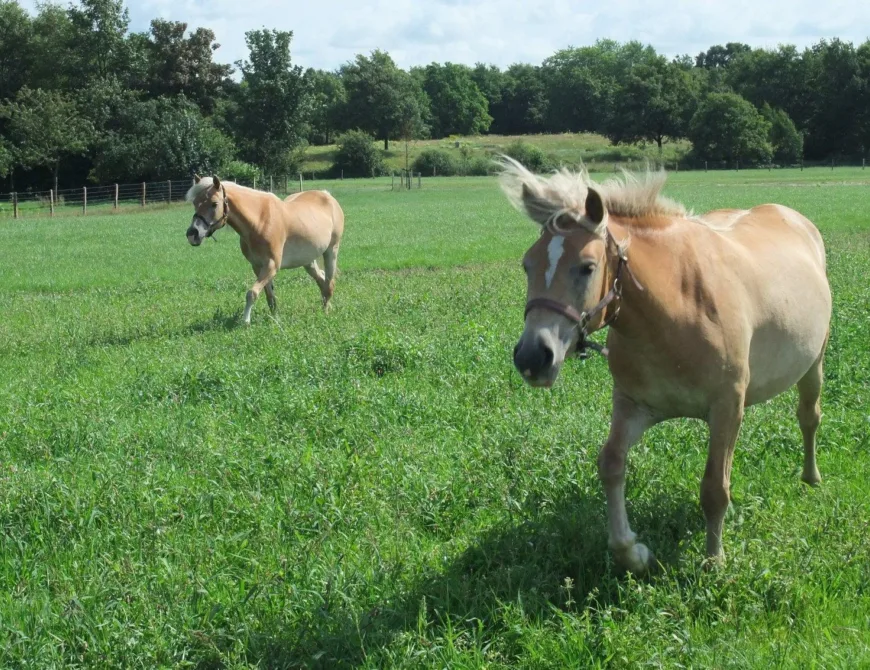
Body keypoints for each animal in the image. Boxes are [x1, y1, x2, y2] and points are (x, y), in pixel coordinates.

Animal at [185, 175, 345, 324]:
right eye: (195, 203)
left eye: (214, 204)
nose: (192, 234)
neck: (260, 221)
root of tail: (327, 196)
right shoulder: (257, 266)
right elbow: (270, 296)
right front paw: (275, 318)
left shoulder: (271, 266)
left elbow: (252, 293)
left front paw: (246, 321)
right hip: (308, 261)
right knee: (322, 280)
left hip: (331, 251)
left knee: (329, 283)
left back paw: (325, 311)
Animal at [502, 157, 831, 574]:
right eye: (527, 265)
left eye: (587, 267)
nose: (532, 357)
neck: (677, 306)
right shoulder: (634, 405)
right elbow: (611, 464)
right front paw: (633, 552)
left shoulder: (726, 408)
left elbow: (714, 489)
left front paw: (713, 560)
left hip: (814, 363)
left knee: (809, 417)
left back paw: (811, 477)